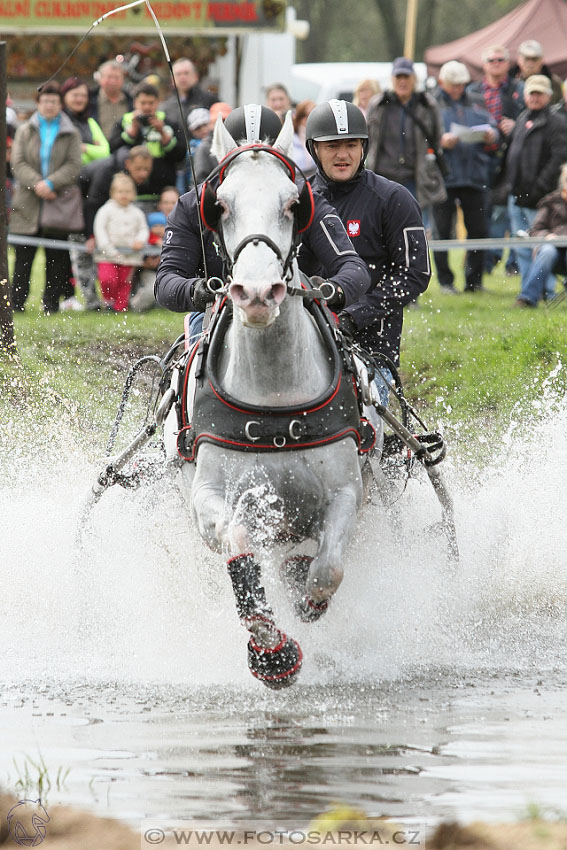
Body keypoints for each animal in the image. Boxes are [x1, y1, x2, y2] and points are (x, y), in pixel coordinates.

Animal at [169, 112, 382, 684]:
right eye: (220, 205)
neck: (275, 397)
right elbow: (238, 542)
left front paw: (305, 597)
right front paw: (272, 652)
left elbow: (328, 568)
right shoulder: (209, 494)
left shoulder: (346, 492)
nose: (259, 294)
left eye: (293, 204)